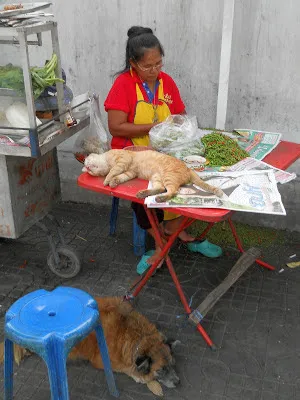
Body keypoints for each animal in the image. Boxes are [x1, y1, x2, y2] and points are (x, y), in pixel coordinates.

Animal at [0, 296, 178, 394]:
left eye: (172, 365)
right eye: (161, 369)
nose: (178, 383)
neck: (136, 336)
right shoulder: (102, 361)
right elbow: (127, 369)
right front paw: (143, 378)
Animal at [82, 149, 223, 202]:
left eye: (88, 163)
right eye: (90, 172)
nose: (87, 168)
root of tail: (188, 169)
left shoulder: (122, 160)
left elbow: (113, 172)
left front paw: (107, 180)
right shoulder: (129, 173)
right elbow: (119, 177)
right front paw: (113, 182)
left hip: (167, 177)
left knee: (172, 192)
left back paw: (160, 199)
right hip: (157, 178)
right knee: (161, 188)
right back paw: (143, 194)